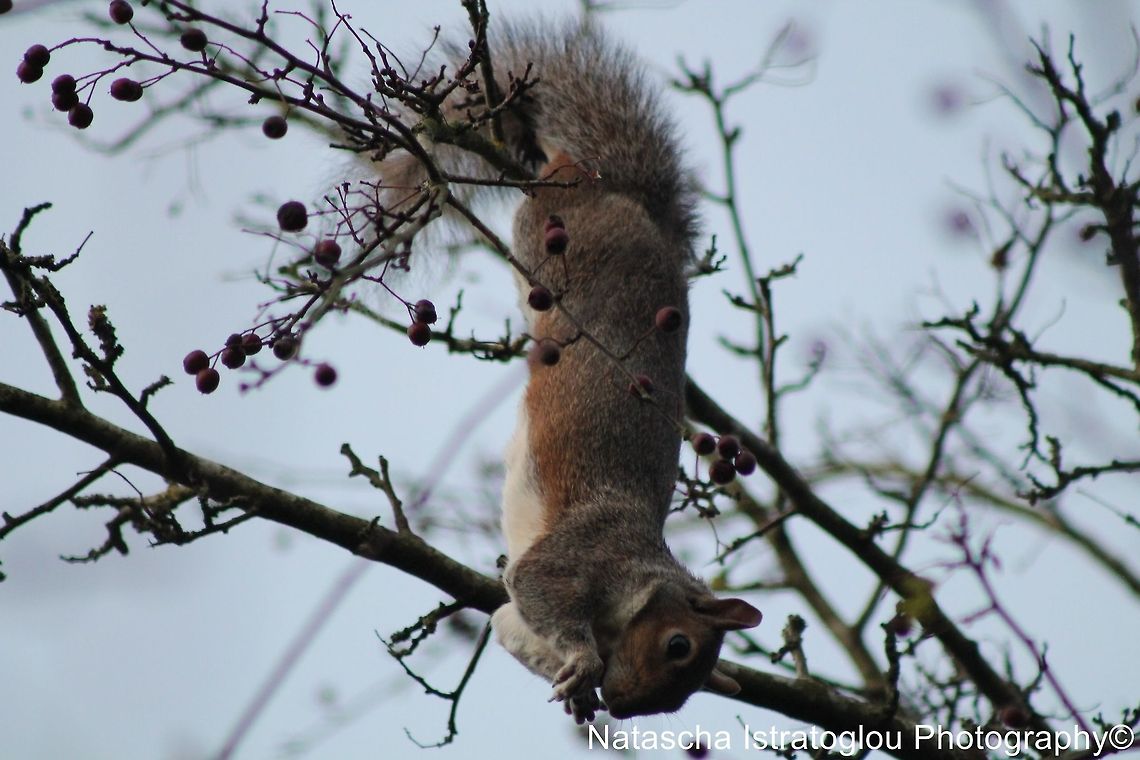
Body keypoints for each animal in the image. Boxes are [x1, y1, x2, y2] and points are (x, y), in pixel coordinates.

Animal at [377, 18, 762, 722]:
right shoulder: (580, 555)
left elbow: (510, 621)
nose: (621, 706)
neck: (639, 575)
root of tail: (623, 196)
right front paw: (583, 661)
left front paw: (575, 682)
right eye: (678, 646)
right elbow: (539, 587)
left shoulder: (520, 614)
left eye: (683, 702)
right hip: (550, 238)